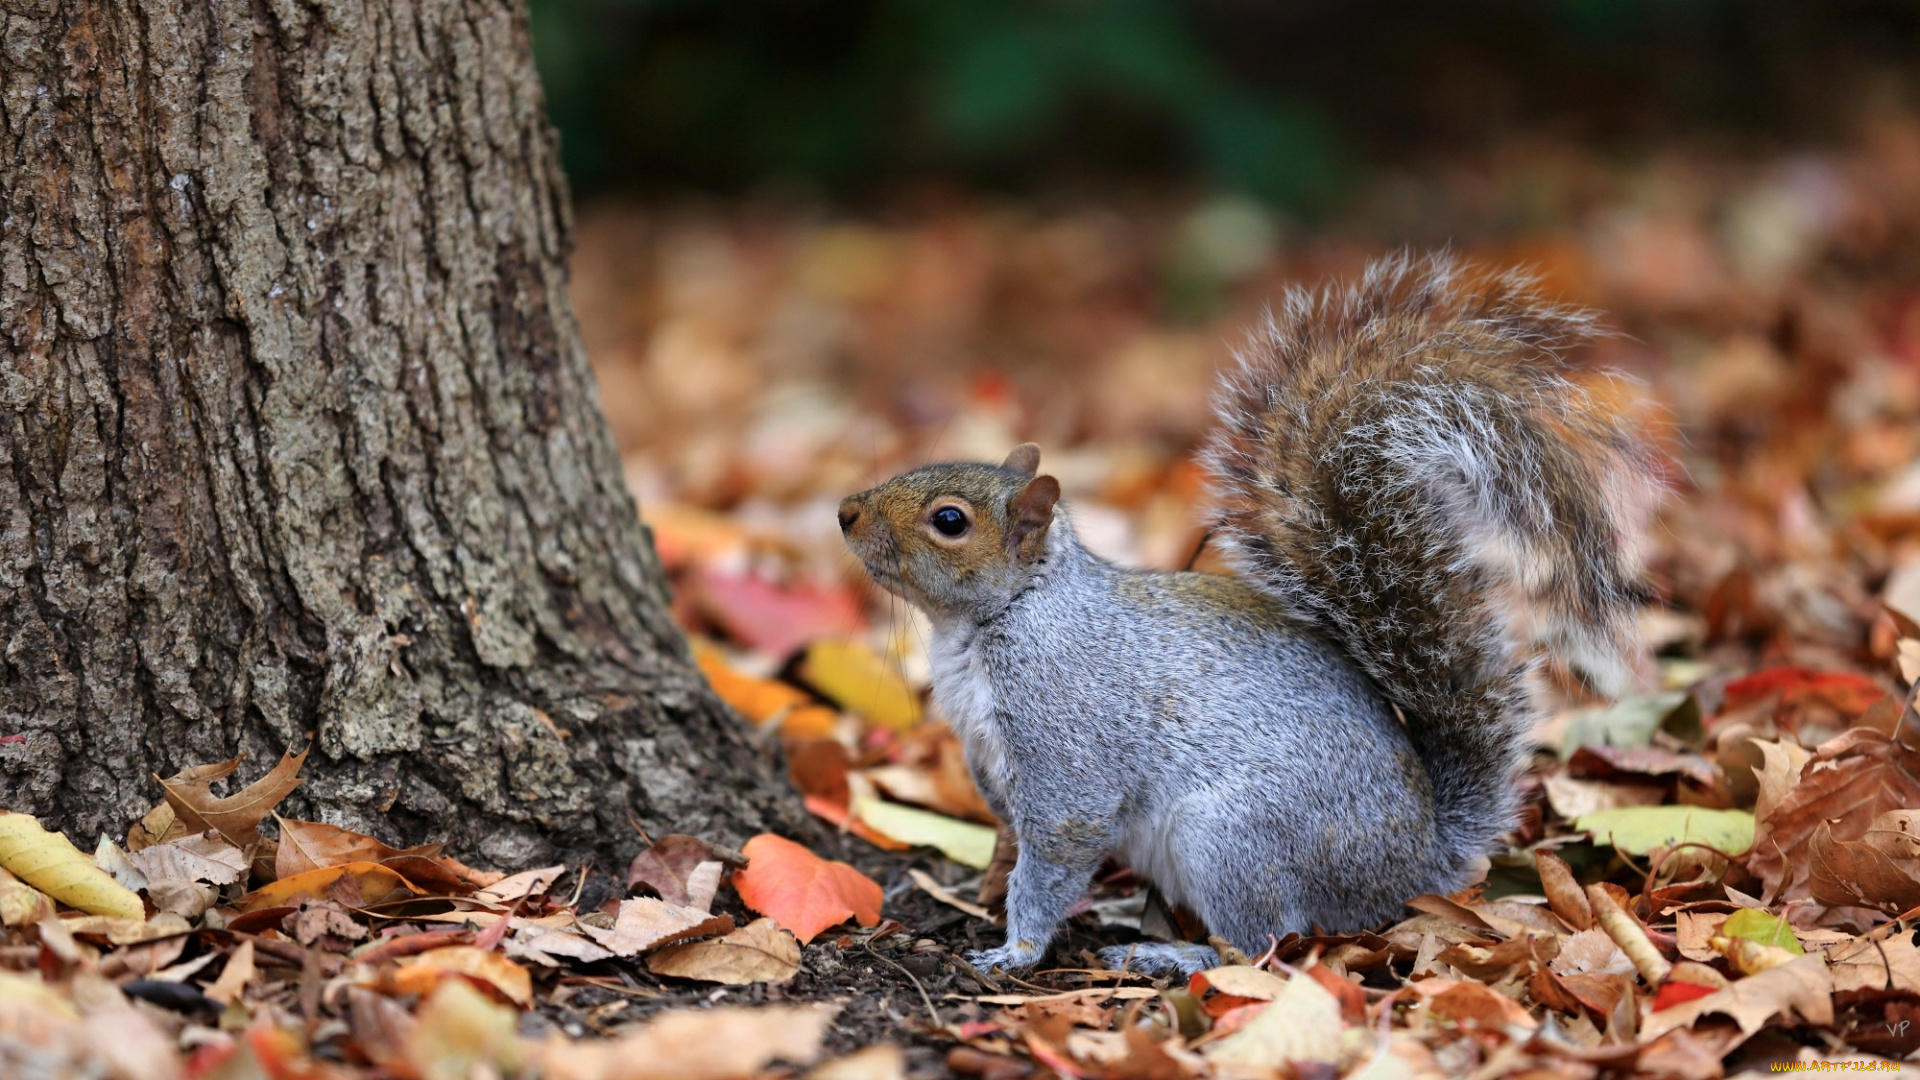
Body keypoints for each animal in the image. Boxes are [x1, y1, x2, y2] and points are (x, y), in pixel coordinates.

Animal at [840, 253, 1666, 976]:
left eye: (950, 521)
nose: (846, 512)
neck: (995, 620)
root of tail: (1416, 862)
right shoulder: (986, 754)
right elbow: (1015, 834)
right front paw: (987, 887)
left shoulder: (1066, 732)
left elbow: (1062, 841)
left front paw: (1016, 947)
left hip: (1231, 840)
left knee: (1266, 940)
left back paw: (1173, 955)